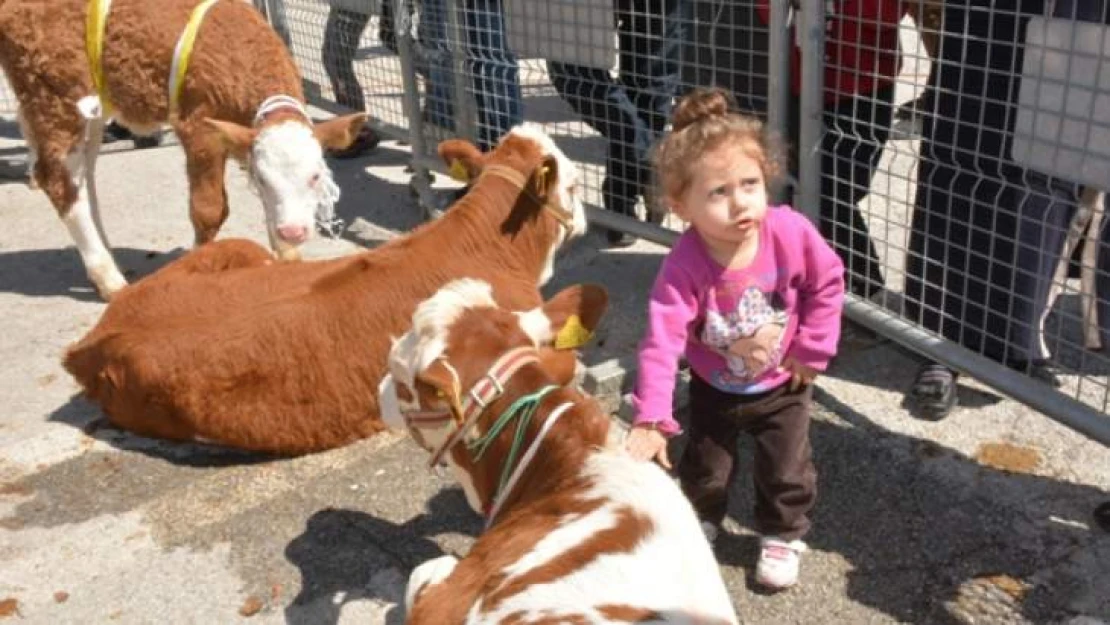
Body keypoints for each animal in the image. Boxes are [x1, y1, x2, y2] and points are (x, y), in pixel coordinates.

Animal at [0, 0, 368, 299]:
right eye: (263, 179)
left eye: (316, 176)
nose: (294, 230)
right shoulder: (198, 128)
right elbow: (208, 210)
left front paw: (287, 259)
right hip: (55, 92)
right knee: (58, 179)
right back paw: (109, 279)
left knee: (83, 174)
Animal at [62, 127, 590, 457]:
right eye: (575, 185)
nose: (586, 220)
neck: (488, 245)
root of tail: (97, 336)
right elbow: (570, 365)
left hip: (235, 248)